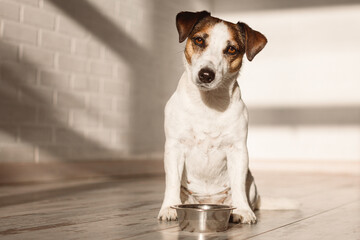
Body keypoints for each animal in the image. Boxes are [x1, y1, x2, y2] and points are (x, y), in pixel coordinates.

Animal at [158, 10, 268, 224]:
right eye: (199, 40)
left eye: (231, 49)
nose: (206, 74)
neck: (208, 104)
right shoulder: (174, 147)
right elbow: (172, 181)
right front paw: (168, 207)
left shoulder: (238, 150)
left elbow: (238, 186)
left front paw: (243, 210)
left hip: (251, 185)